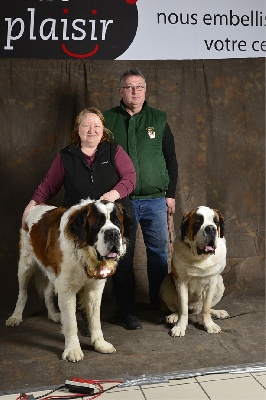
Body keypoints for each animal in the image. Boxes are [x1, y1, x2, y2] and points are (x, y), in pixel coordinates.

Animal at [5, 200, 132, 362]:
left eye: (117, 223)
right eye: (98, 224)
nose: (113, 233)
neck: (85, 252)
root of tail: (36, 205)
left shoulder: (94, 288)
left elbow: (95, 318)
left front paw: (100, 343)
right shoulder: (67, 289)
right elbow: (71, 322)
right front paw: (73, 350)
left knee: (47, 293)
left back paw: (53, 314)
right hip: (25, 265)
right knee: (22, 293)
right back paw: (15, 317)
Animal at [159, 206, 230, 338]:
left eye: (216, 222)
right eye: (198, 222)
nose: (211, 228)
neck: (201, 258)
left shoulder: (212, 281)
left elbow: (206, 307)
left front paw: (209, 324)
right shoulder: (181, 282)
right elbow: (183, 307)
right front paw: (180, 326)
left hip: (220, 282)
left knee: (203, 308)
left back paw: (218, 312)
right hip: (166, 283)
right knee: (178, 308)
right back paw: (173, 316)